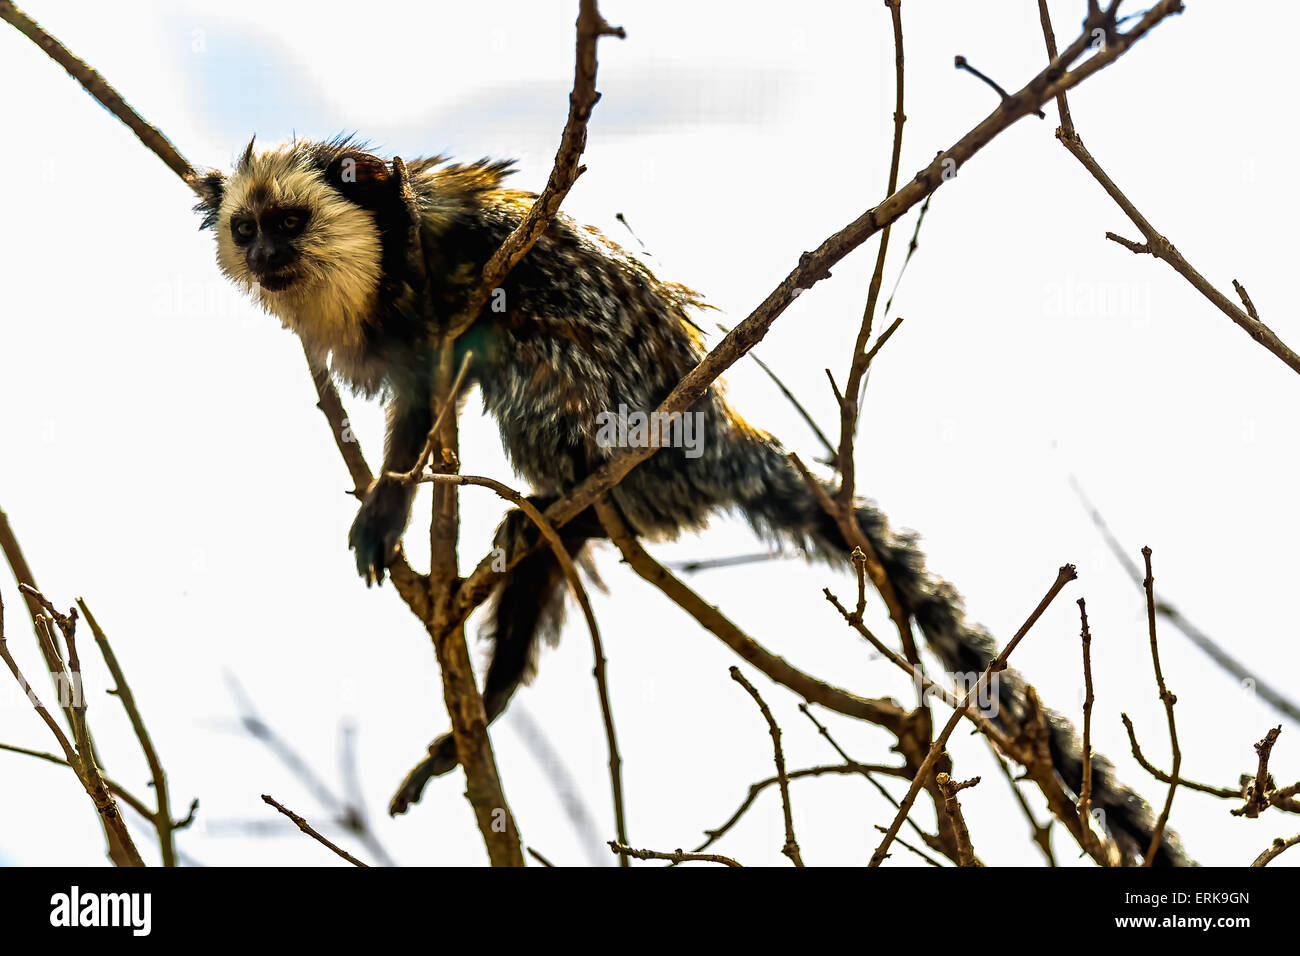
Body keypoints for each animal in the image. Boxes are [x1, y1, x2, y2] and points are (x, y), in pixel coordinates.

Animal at [188, 136, 1190, 868]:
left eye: (290, 220)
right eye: (247, 226)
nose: (266, 255)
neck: (376, 269)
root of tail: (712, 430)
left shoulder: (439, 268)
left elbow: (442, 375)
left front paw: (389, 510)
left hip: (621, 413)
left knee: (534, 365)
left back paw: (558, 503)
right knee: (541, 559)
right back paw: (502, 667)